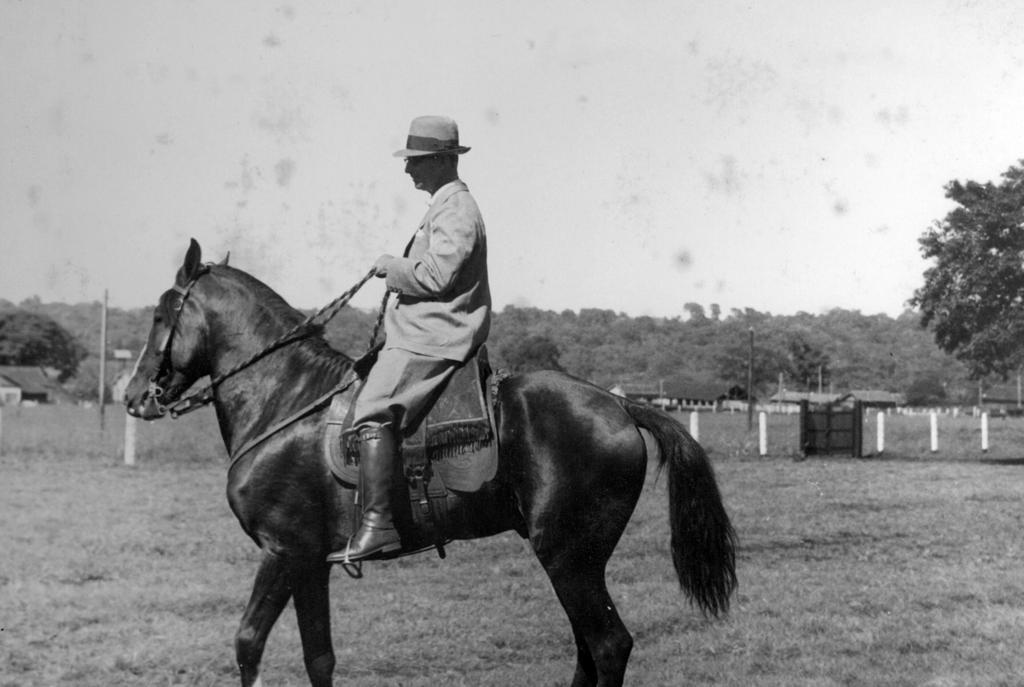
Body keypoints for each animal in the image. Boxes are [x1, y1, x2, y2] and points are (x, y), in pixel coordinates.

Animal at [123, 239, 737, 683]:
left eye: (161, 314)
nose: (132, 396)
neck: (287, 398)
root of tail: (619, 404)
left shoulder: (283, 553)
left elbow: (249, 644)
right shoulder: (309, 563)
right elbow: (319, 657)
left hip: (569, 558)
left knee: (608, 647)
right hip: (574, 562)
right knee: (590, 650)